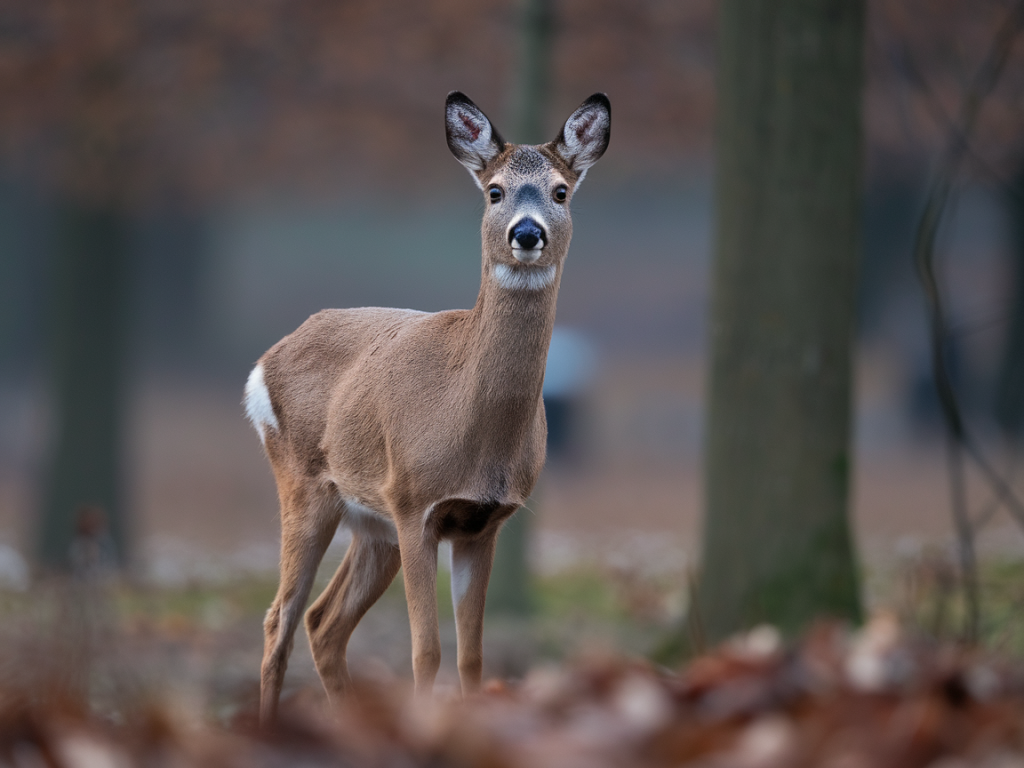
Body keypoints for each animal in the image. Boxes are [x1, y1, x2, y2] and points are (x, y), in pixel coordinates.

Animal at [244, 91, 611, 725]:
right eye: (495, 191)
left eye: (562, 191)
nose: (527, 232)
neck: (475, 435)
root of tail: (264, 364)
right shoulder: (416, 503)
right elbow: (426, 652)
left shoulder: (482, 522)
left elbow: (472, 656)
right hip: (305, 483)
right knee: (279, 618)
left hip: (373, 523)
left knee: (322, 622)